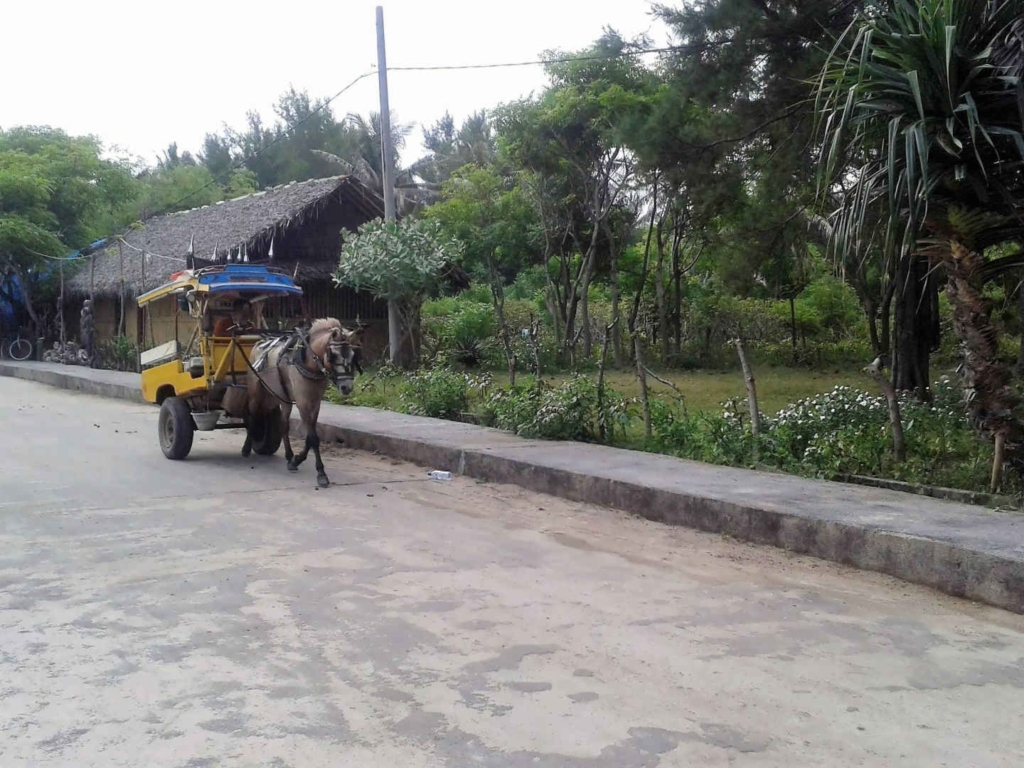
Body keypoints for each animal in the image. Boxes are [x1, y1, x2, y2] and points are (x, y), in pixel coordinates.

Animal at [224, 317, 364, 487]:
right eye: (333, 355)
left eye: (352, 355)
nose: (346, 387)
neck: (309, 363)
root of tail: (259, 342)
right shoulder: (303, 402)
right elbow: (313, 438)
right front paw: (321, 473)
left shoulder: (315, 403)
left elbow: (309, 437)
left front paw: (296, 460)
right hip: (256, 390)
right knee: (253, 415)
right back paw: (247, 447)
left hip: (282, 396)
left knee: (283, 425)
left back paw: (289, 455)